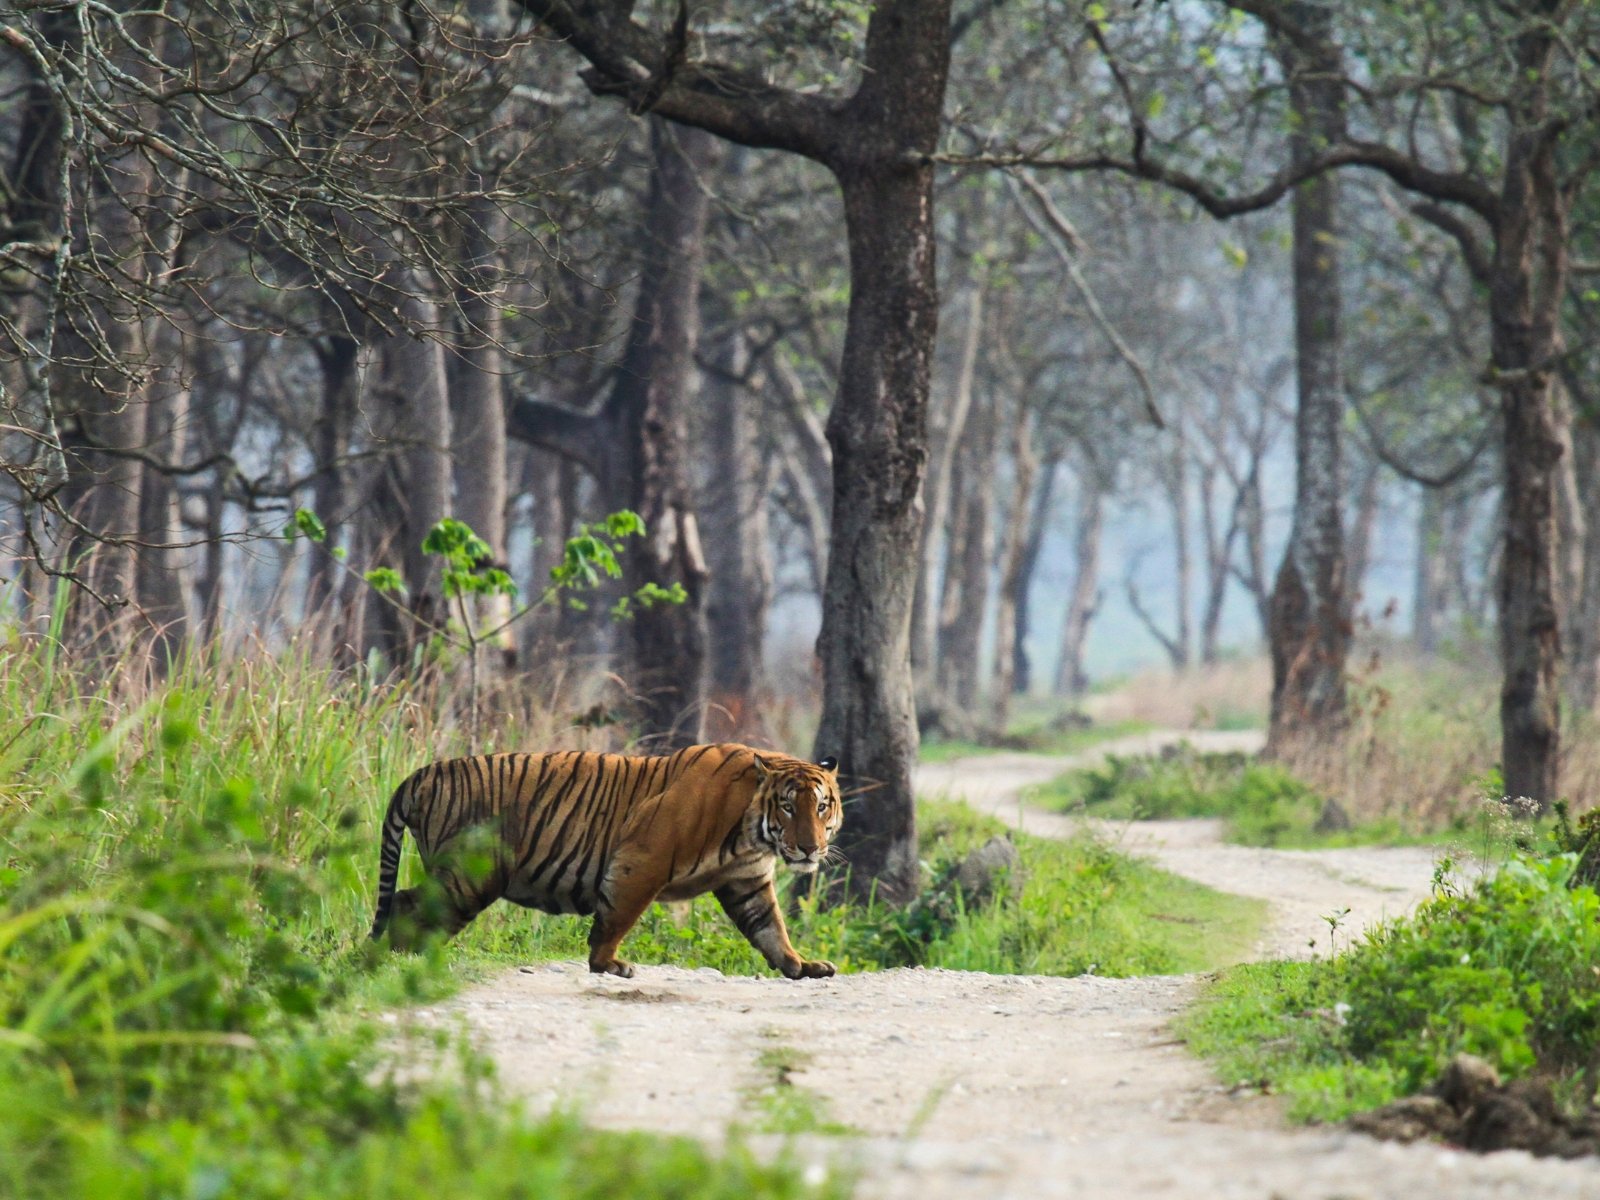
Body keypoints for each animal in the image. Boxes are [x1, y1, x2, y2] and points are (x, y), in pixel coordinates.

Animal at [368, 743, 843, 980]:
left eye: (821, 807)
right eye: (788, 807)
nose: (809, 848)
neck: (752, 834)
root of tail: (421, 776)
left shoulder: (748, 882)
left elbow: (771, 929)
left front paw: (801, 966)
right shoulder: (643, 859)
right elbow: (618, 917)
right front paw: (607, 965)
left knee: (410, 903)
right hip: (470, 875)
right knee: (408, 903)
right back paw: (400, 961)